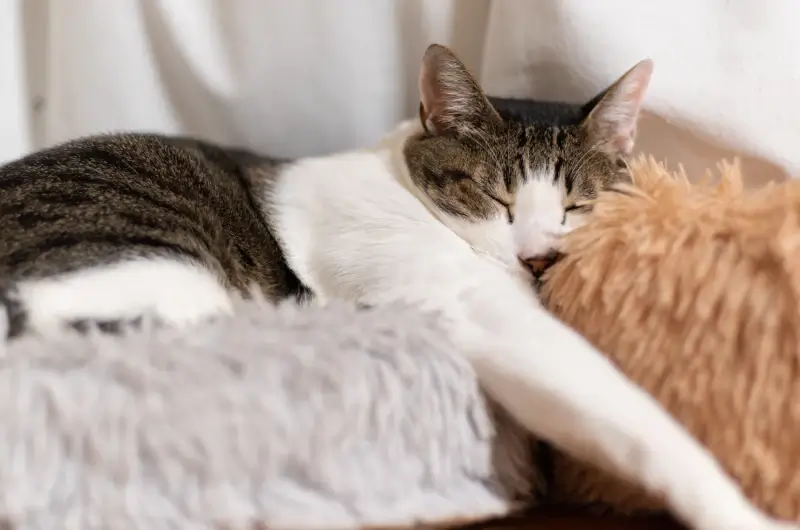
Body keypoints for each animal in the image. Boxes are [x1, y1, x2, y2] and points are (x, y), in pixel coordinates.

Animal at [0, 45, 792, 528]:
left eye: (577, 204)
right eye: (496, 197)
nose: (539, 260)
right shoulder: (474, 306)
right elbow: (628, 415)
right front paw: (734, 507)